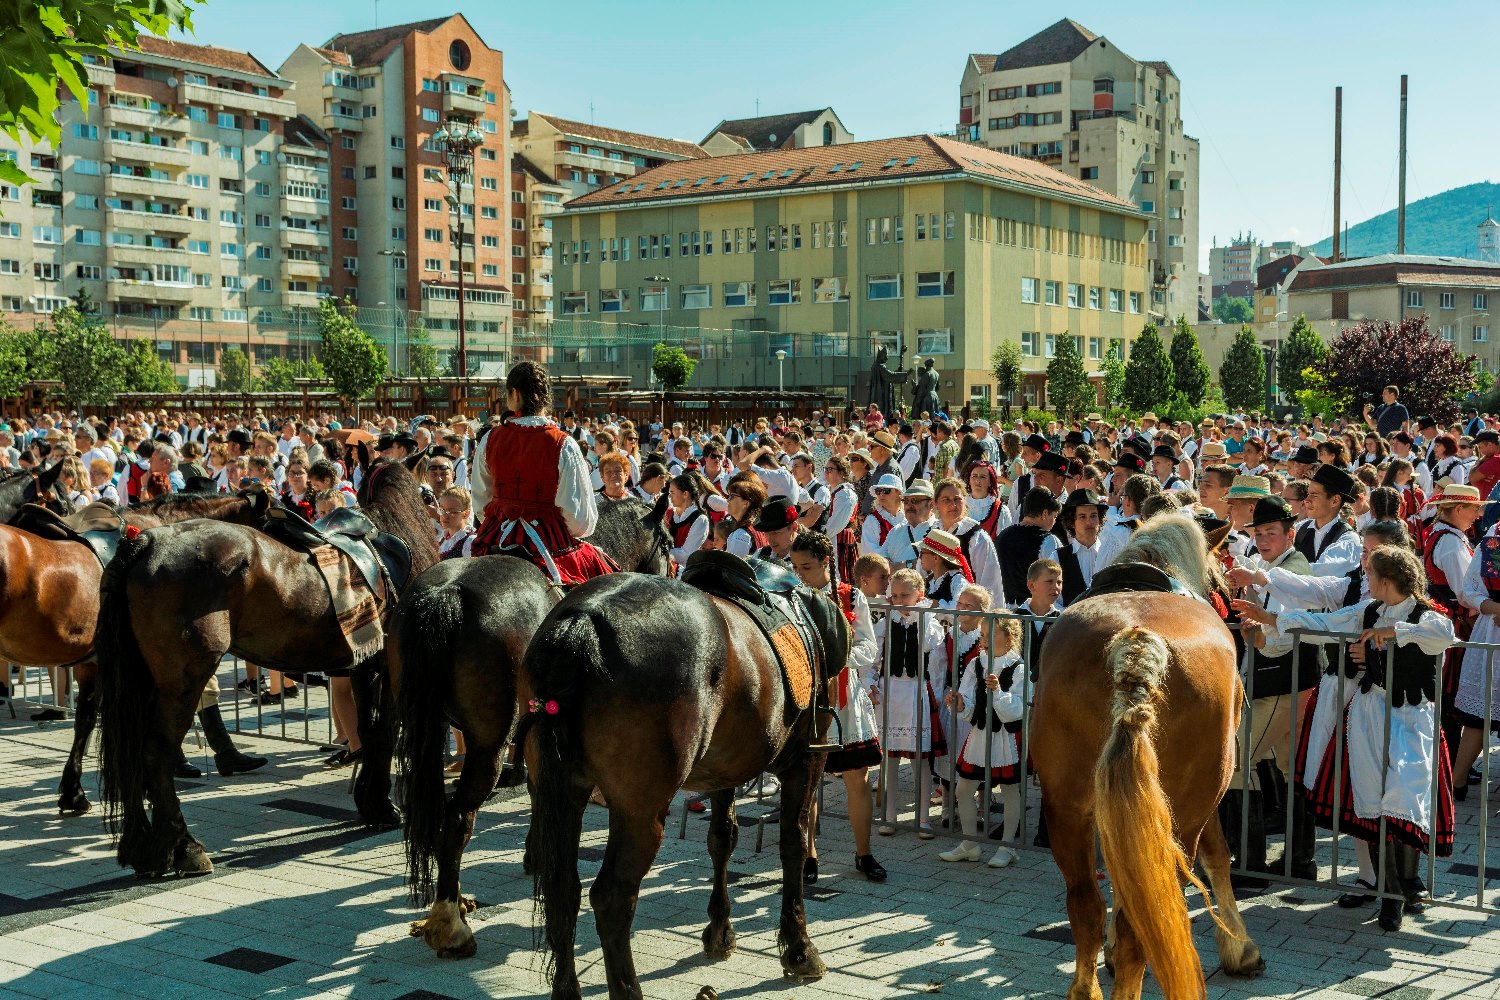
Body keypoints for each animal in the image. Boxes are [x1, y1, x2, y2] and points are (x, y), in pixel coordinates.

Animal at [96, 461, 438, 875]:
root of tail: (144, 543)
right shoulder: (387, 669)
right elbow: (384, 733)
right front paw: (382, 807)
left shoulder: (364, 667)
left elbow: (369, 731)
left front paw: (371, 804)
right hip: (182, 680)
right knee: (155, 752)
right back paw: (185, 848)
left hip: (143, 681)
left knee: (129, 753)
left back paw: (141, 849)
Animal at [522, 569, 852, 1000]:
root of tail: (581, 621)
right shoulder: (806, 760)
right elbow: (793, 843)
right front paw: (799, 948)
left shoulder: (724, 770)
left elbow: (722, 839)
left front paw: (720, 931)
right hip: (640, 812)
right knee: (611, 898)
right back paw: (627, 989)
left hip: (563, 794)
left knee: (563, 891)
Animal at [1032, 515, 1266, 1000]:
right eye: (1223, 576)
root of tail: (1136, 651)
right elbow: (1218, 855)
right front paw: (1240, 947)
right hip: (1184, 812)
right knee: (1144, 925)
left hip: (1064, 805)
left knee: (1086, 906)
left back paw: (1086, 986)